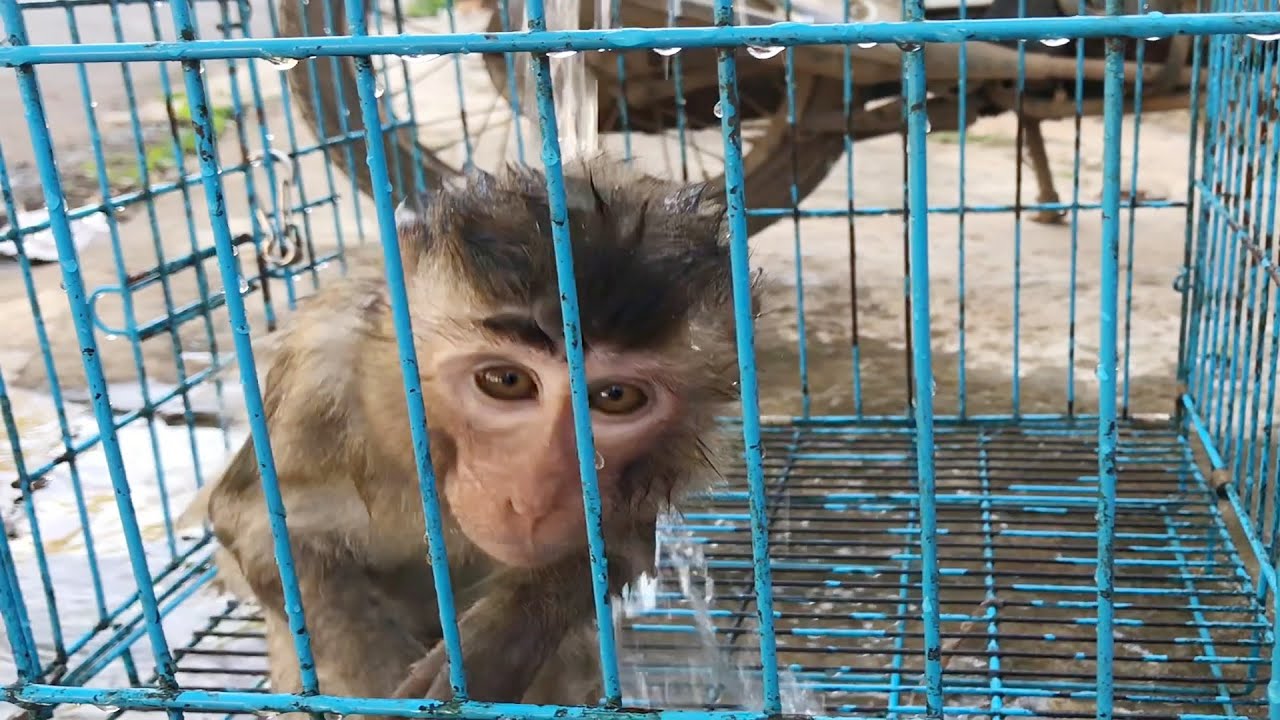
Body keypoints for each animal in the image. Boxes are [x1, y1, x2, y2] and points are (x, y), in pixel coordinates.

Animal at [187, 154, 761, 716]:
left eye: (614, 397)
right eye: (506, 382)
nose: (533, 496)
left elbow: (618, 545)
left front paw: (487, 650)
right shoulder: (317, 382)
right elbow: (255, 521)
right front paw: (379, 686)